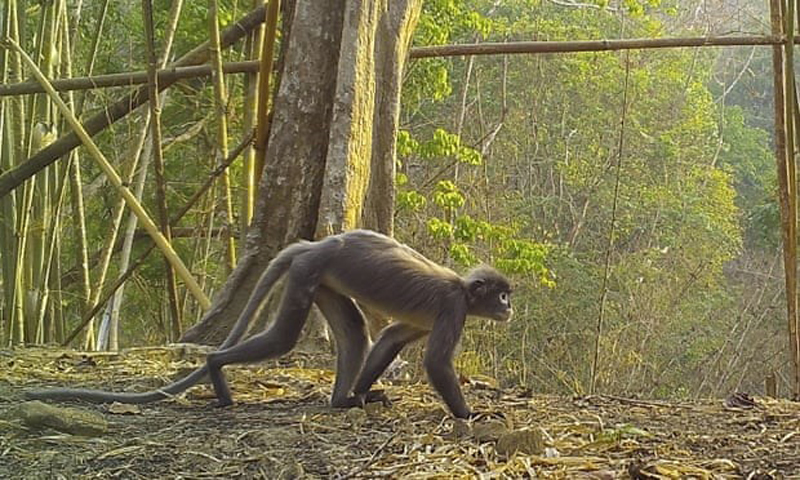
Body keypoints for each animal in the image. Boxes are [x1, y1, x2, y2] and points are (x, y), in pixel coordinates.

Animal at [29, 231, 512, 418]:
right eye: (502, 294)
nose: (509, 308)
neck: (464, 290)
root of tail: (318, 243)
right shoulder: (453, 308)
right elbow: (435, 364)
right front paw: (472, 414)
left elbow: (392, 336)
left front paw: (363, 393)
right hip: (308, 272)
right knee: (283, 338)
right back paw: (217, 368)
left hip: (319, 278)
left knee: (355, 332)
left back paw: (342, 400)